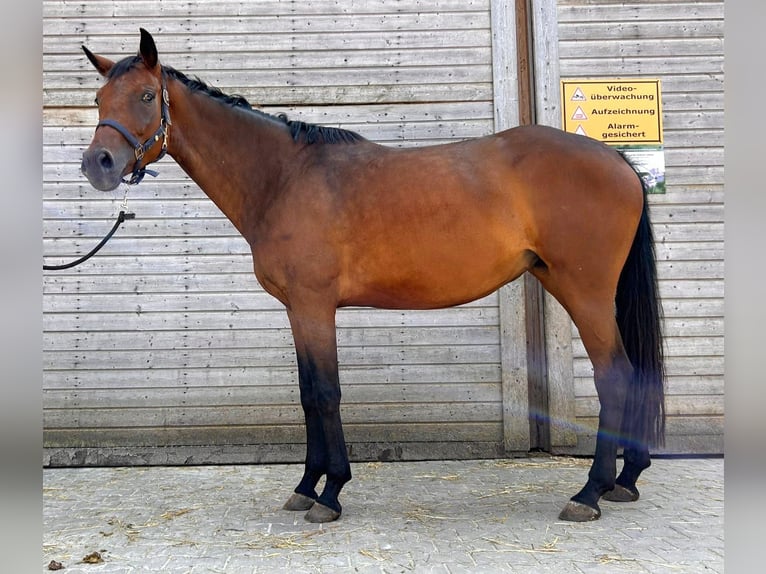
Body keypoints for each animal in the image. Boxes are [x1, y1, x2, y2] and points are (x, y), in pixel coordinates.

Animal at [79, 30, 664, 528]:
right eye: (99, 99)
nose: (98, 164)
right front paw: (306, 486)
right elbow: (307, 393)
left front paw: (331, 492)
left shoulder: (314, 305)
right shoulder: (298, 310)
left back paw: (589, 492)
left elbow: (325, 392)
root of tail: (617, 159)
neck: (284, 178)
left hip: (585, 293)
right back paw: (625, 480)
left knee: (615, 376)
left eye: (147, 96)